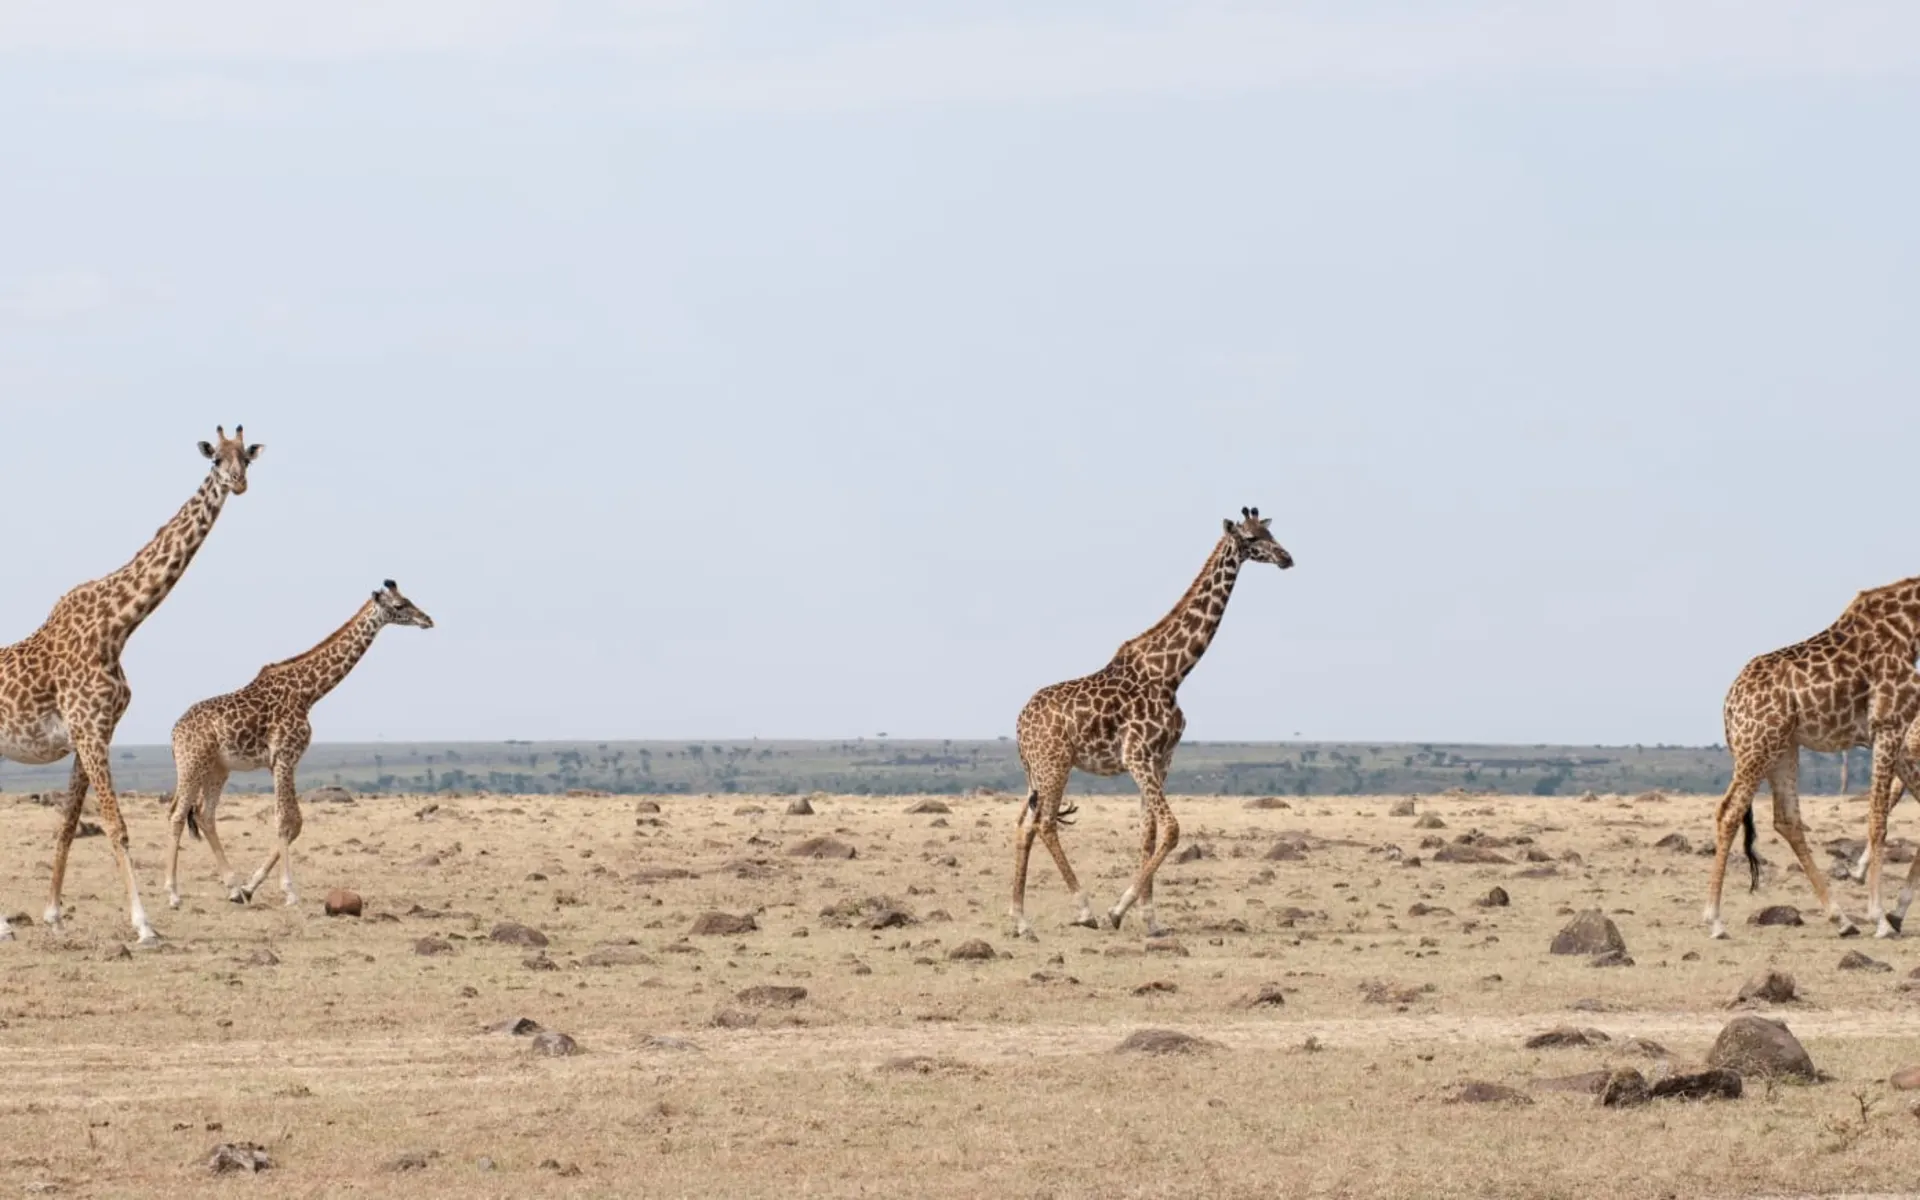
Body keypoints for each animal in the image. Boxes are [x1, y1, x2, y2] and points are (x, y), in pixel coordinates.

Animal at [0, 426, 261, 940]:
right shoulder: (89, 730)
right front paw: (144, 924)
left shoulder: (92, 734)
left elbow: (68, 823)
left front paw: (53, 913)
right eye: (215, 459)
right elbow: (116, 826)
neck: (117, 625)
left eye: (248, 457)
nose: (238, 483)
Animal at [162, 583, 435, 906]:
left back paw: (233, 888)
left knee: (205, 816)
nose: (427, 620)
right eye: (400, 605)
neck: (308, 693)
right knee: (177, 815)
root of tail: (174, 732)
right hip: (191, 764)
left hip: (217, 769)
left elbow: (297, 823)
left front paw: (251, 886)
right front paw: (290, 892)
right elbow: (284, 820)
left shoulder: (282, 761)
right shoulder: (285, 756)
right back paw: (173, 894)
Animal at [1013, 506, 1297, 936]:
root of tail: (1018, 723)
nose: (1286, 558)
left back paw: (1020, 920)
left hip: (1037, 771)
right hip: (1055, 763)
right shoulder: (1137, 756)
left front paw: (1149, 918)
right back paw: (1084, 909)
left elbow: (1148, 833)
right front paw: (1117, 911)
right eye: (1250, 539)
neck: (1173, 673)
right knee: (1045, 823)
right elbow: (1173, 828)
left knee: (1025, 825)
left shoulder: (1162, 759)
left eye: (1270, 532)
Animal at [1720, 576, 1920, 940]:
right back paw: (1714, 920)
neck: (1909, 627)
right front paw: (1881, 919)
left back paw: (1842, 919)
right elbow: (1878, 820)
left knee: (1786, 819)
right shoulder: (1889, 726)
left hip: (1783, 748)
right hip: (1757, 746)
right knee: (1729, 812)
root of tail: (1728, 705)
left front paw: (1894, 913)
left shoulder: (1893, 736)